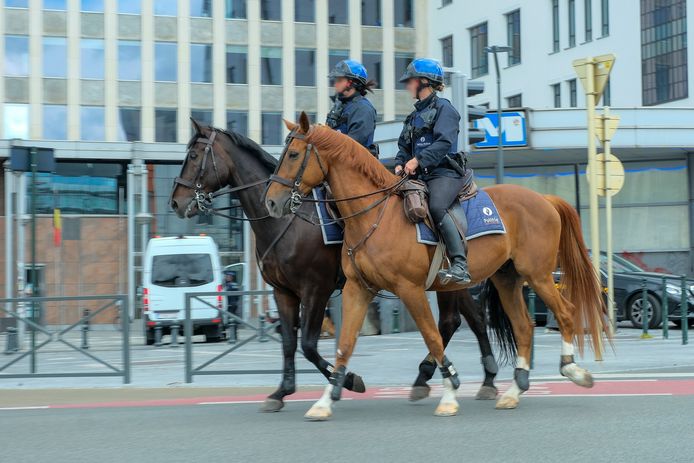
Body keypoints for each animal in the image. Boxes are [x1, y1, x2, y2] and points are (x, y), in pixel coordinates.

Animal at [171, 119, 502, 414]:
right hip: (448, 281)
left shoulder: (316, 289)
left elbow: (308, 344)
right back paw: (477, 379)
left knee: (454, 321)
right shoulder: (283, 292)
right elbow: (289, 343)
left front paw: (348, 380)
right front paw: (282, 392)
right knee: (468, 319)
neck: (287, 223)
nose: (175, 202)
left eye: (194, 156)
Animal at [264, 113, 612, 420]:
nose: (271, 201)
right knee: (524, 326)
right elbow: (345, 344)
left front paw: (449, 393)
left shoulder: (408, 289)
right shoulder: (357, 289)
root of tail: (545, 199)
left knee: (565, 313)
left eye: (293, 154)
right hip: (507, 279)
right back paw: (514, 390)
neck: (373, 215)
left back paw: (572, 369)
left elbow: (431, 335)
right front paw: (325, 400)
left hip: (536, 276)